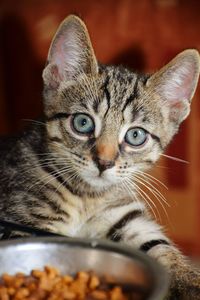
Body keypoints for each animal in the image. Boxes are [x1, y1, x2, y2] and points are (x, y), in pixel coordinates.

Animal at [0, 15, 200, 298]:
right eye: (83, 123)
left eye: (135, 135)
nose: (104, 163)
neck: (87, 197)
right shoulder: (21, 221)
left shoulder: (126, 216)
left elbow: (162, 248)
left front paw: (190, 283)